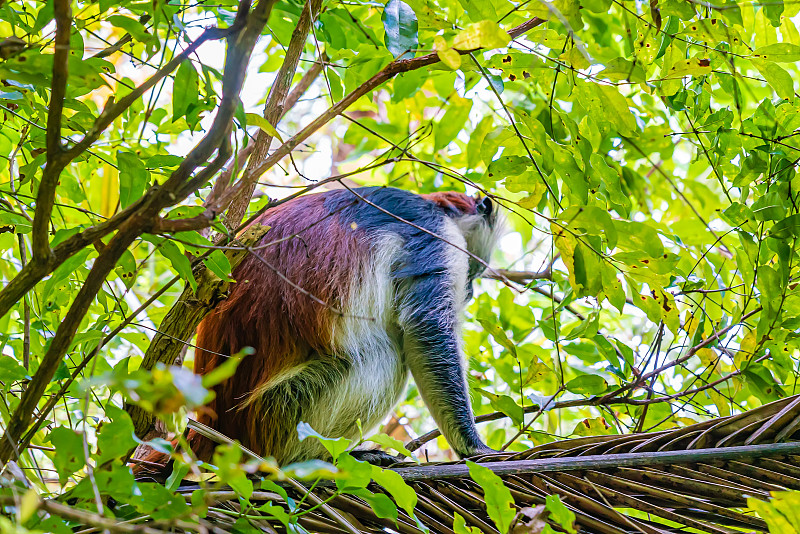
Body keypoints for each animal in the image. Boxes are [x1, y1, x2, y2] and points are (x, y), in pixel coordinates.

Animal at [163, 188, 504, 468]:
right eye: (475, 272)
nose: (470, 290)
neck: (435, 206)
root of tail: (214, 423)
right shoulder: (435, 232)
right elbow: (428, 325)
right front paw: (474, 448)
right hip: (277, 412)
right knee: (388, 357)